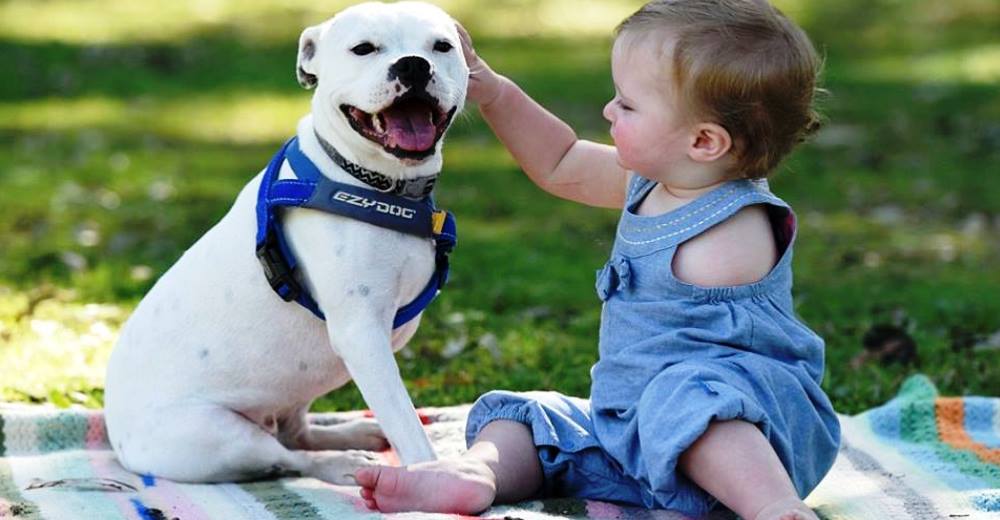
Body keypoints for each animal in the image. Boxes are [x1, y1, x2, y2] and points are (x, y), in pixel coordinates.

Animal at [103, 2, 470, 486]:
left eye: (441, 46)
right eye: (363, 49)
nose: (413, 64)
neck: (374, 183)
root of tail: (117, 438)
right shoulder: (362, 337)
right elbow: (407, 424)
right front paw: (435, 476)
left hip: (298, 384)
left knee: (296, 433)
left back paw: (352, 435)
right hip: (219, 437)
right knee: (288, 457)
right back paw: (346, 465)